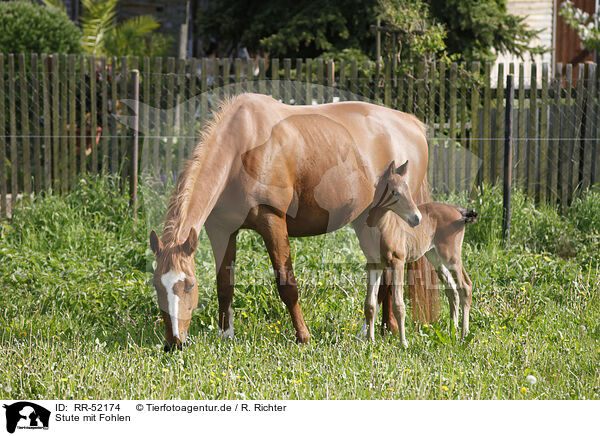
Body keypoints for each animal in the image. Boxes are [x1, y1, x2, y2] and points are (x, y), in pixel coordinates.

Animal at [148, 92, 434, 348]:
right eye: (157, 285)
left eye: (189, 286)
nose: (174, 343)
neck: (242, 148)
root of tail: (412, 124)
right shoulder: (221, 229)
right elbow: (224, 284)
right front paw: (225, 335)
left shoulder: (272, 221)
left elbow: (287, 284)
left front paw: (303, 337)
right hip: (367, 220)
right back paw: (382, 329)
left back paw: (379, 330)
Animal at [364, 165, 476, 346]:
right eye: (394, 192)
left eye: (408, 189)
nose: (416, 219)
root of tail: (457, 210)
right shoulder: (373, 265)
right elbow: (370, 304)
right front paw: (369, 342)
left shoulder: (398, 262)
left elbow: (399, 305)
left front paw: (403, 344)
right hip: (435, 258)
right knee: (452, 291)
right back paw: (452, 331)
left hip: (451, 257)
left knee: (465, 286)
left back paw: (463, 334)